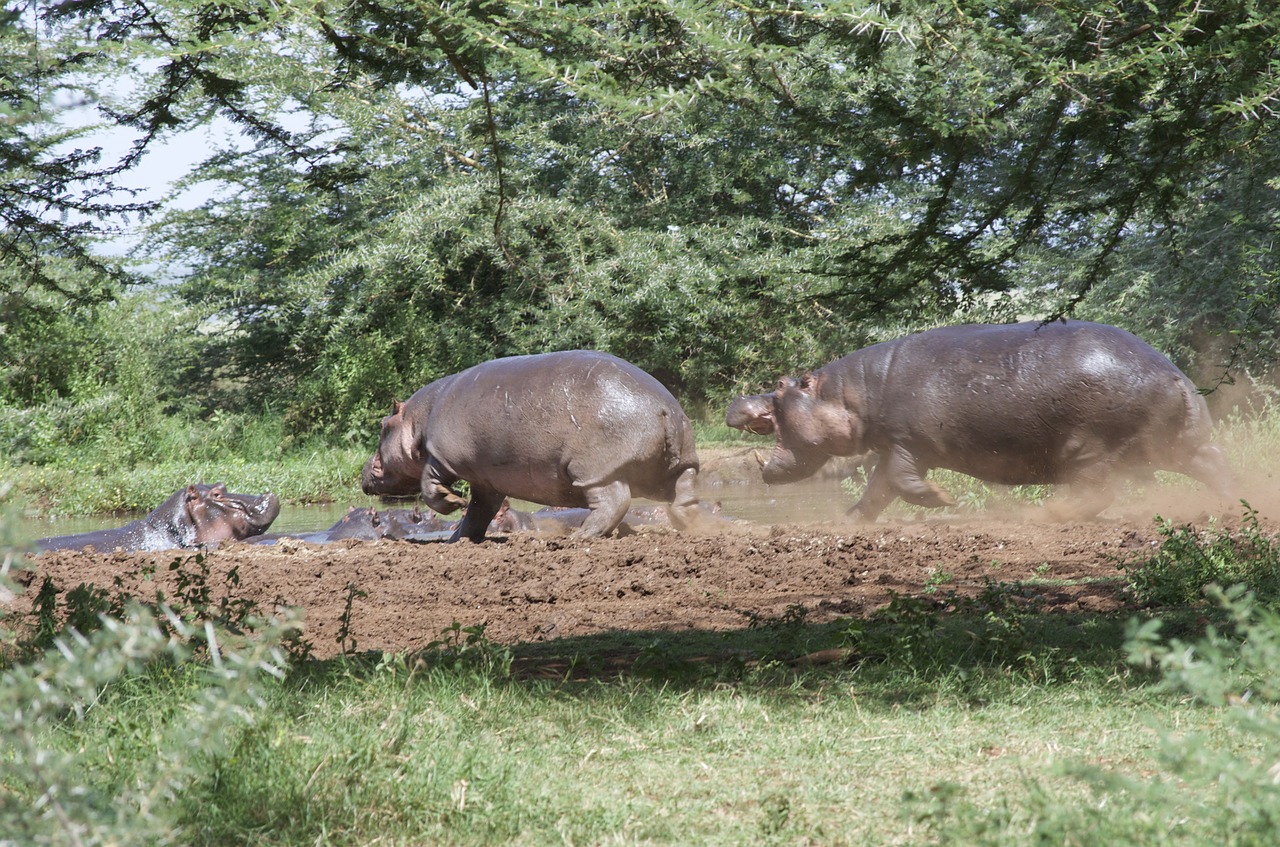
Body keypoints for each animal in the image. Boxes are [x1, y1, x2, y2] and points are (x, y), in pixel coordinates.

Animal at [360, 353, 701, 545]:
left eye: (383, 425)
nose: (364, 469)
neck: (418, 419)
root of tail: (664, 409)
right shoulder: (486, 480)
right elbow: (479, 511)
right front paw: (458, 540)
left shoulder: (441, 456)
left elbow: (430, 486)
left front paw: (453, 501)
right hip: (680, 463)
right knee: (685, 495)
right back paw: (688, 525)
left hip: (595, 470)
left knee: (613, 502)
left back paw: (580, 537)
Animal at [732, 323, 1239, 524]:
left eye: (779, 386)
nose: (736, 401)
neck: (852, 395)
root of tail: (1174, 375)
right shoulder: (896, 446)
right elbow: (876, 492)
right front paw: (849, 520)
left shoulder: (904, 443)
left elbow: (899, 482)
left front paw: (943, 499)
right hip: (1178, 444)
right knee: (1216, 464)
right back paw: (1237, 504)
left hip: (1087, 448)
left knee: (1096, 493)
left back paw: (1040, 515)